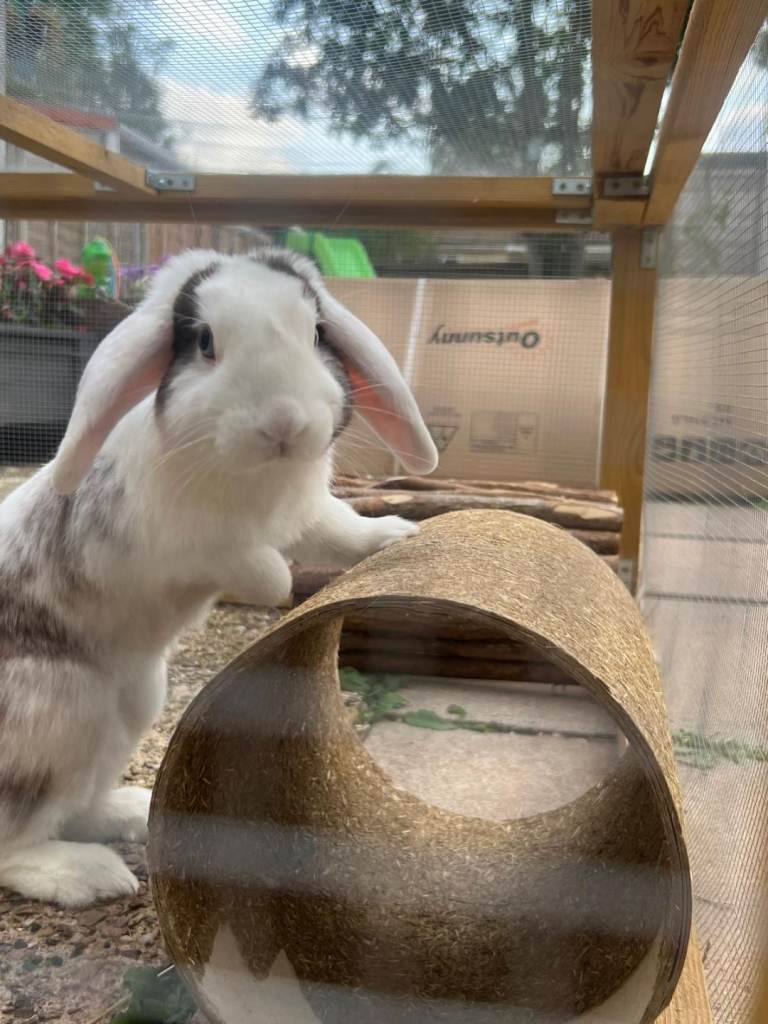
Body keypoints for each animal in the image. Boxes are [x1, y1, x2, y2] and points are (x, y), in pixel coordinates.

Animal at [0, 247, 437, 907]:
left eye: (316, 333)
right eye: (205, 341)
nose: (284, 423)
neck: (251, 475)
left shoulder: (308, 514)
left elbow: (340, 531)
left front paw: (399, 535)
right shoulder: (184, 548)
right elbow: (251, 563)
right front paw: (280, 586)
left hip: (134, 702)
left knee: (75, 806)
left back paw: (129, 812)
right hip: (57, 711)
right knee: (15, 840)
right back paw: (87, 874)